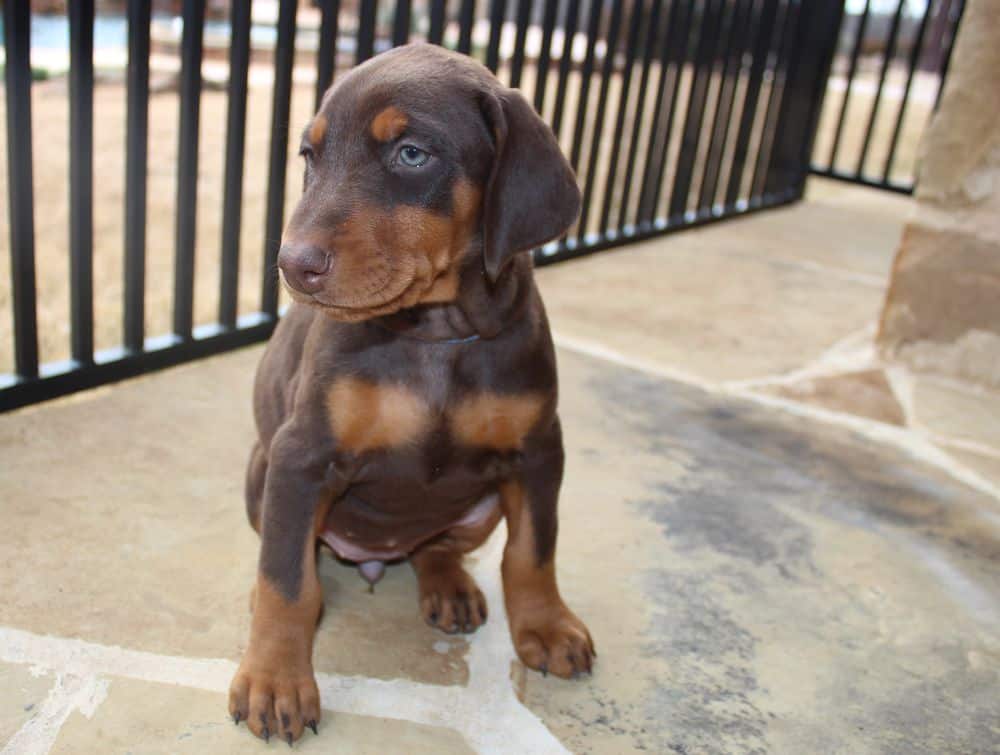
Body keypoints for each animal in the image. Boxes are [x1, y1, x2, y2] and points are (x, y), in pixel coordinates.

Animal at [229, 42, 592, 744]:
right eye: (310, 156)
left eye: (412, 153)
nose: (292, 264)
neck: (438, 332)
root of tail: (379, 557)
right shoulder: (300, 457)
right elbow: (286, 580)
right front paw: (275, 680)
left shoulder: (539, 450)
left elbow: (534, 550)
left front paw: (547, 626)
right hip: (260, 472)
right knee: (287, 556)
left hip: (480, 506)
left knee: (436, 545)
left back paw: (447, 584)